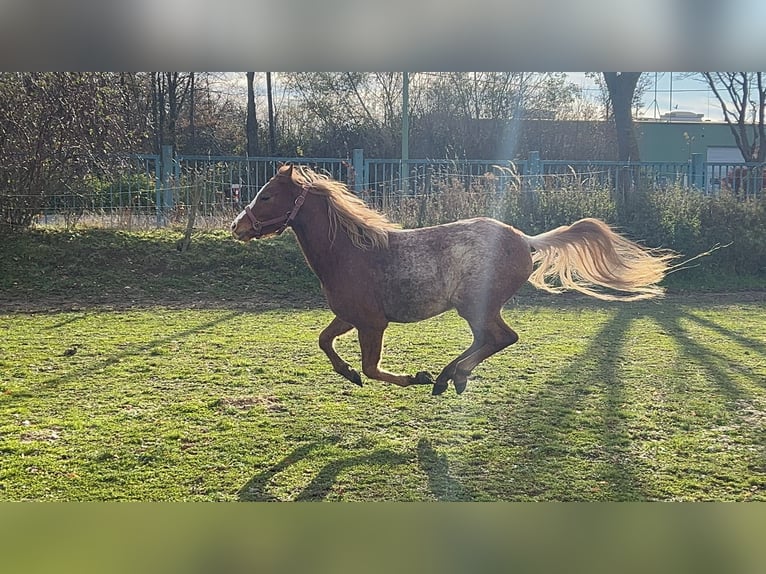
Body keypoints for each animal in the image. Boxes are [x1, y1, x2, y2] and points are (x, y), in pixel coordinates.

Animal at [231, 165, 674, 395]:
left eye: (266, 195)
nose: (237, 226)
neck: (351, 253)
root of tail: (524, 239)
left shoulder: (373, 323)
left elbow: (373, 367)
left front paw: (413, 376)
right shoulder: (349, 317)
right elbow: (324, 342)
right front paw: (348, 374)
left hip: (475, 304)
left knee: (500, 338)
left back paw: (449, 377)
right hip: (476, 308)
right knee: (489, 340)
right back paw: (449, 377)